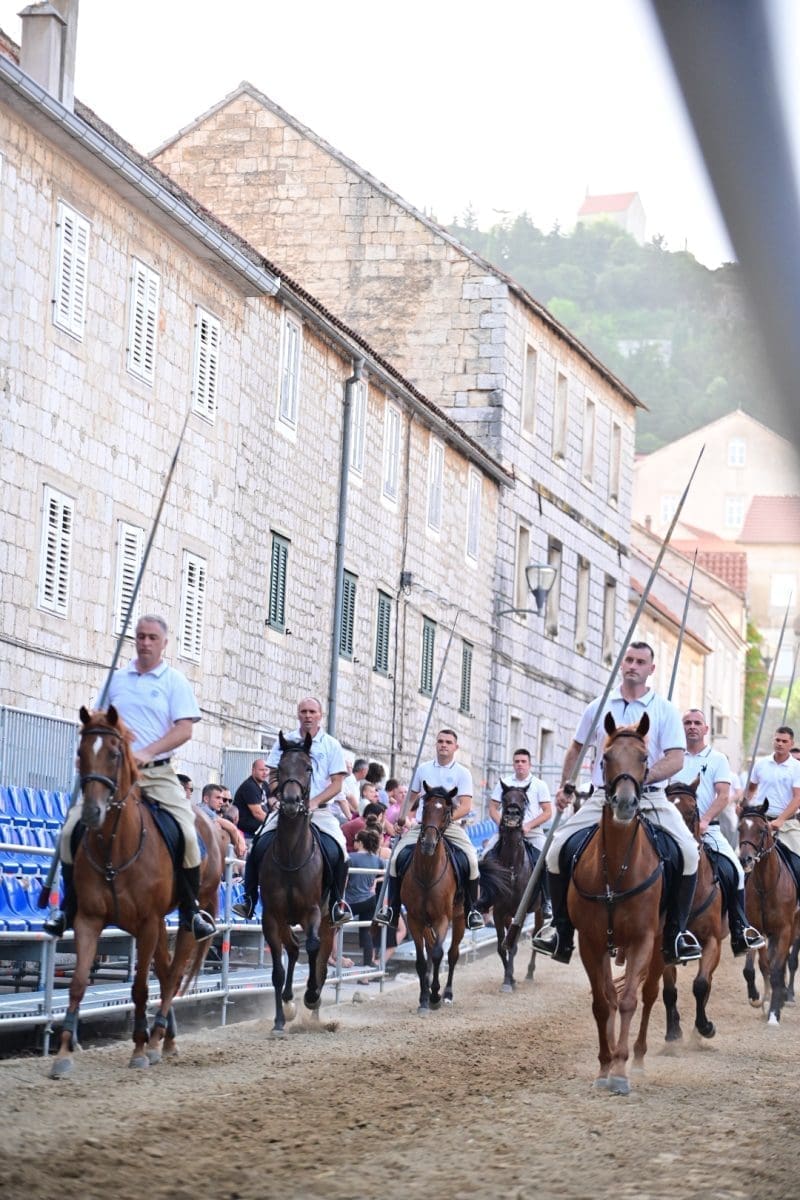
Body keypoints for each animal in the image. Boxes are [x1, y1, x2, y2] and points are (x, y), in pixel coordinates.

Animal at [50, 706, 222, 1078]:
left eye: (115, 755)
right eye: (81, 753)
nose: (92, 812)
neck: (115, 849)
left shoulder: (145, 923)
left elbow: (141, 987)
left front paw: (140, 1049)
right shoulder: (89, 920)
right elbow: (78, 983)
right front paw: (64, 1053)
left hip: (182, 918)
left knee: (172, 975)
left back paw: (156, 1038)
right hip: (154, 925)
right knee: (165, 970)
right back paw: (166, 1040)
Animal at [400, 783, 466, 1014]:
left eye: (446, 811)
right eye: (424, 807)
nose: (428, 844)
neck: (428, 874)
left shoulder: (442, 918)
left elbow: (439, 953)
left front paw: (436, 995)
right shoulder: (414, 919)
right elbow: (421, 960)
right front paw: (423, 998)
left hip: (460, 917)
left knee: (453, 953)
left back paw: (447, 994)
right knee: (430, 950)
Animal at [478, 783, 543, 992]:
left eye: (523, 799)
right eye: (505, 798)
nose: (513, 813)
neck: (512, 867)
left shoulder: (520, 913)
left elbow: (512, 946)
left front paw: (509, 980)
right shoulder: (499, 912)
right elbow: (502, 946)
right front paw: (510, 979)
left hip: (539, 911)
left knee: (535, 935)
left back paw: (530, 972)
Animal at [568, 712, 665, 1095]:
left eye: (644, 757)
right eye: (606, 757)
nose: (625, 804)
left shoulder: (643, 939)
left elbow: (627, 1001)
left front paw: (621, 1070)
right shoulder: (590, 941)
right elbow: (602, 1001)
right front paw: (605, 1065)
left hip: (660, 947)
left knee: (649, 993)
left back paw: (637, 1059)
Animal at [738, 802, 800, 1026]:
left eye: (762, 830)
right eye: (740, 828)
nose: (745, 859)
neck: (766, 886)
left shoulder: (784, 930)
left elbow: (776, 969)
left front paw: (774, 1013)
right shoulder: (756, 929)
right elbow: (759, 966)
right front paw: (759, 999)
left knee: (790, 960)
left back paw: (787, 996)